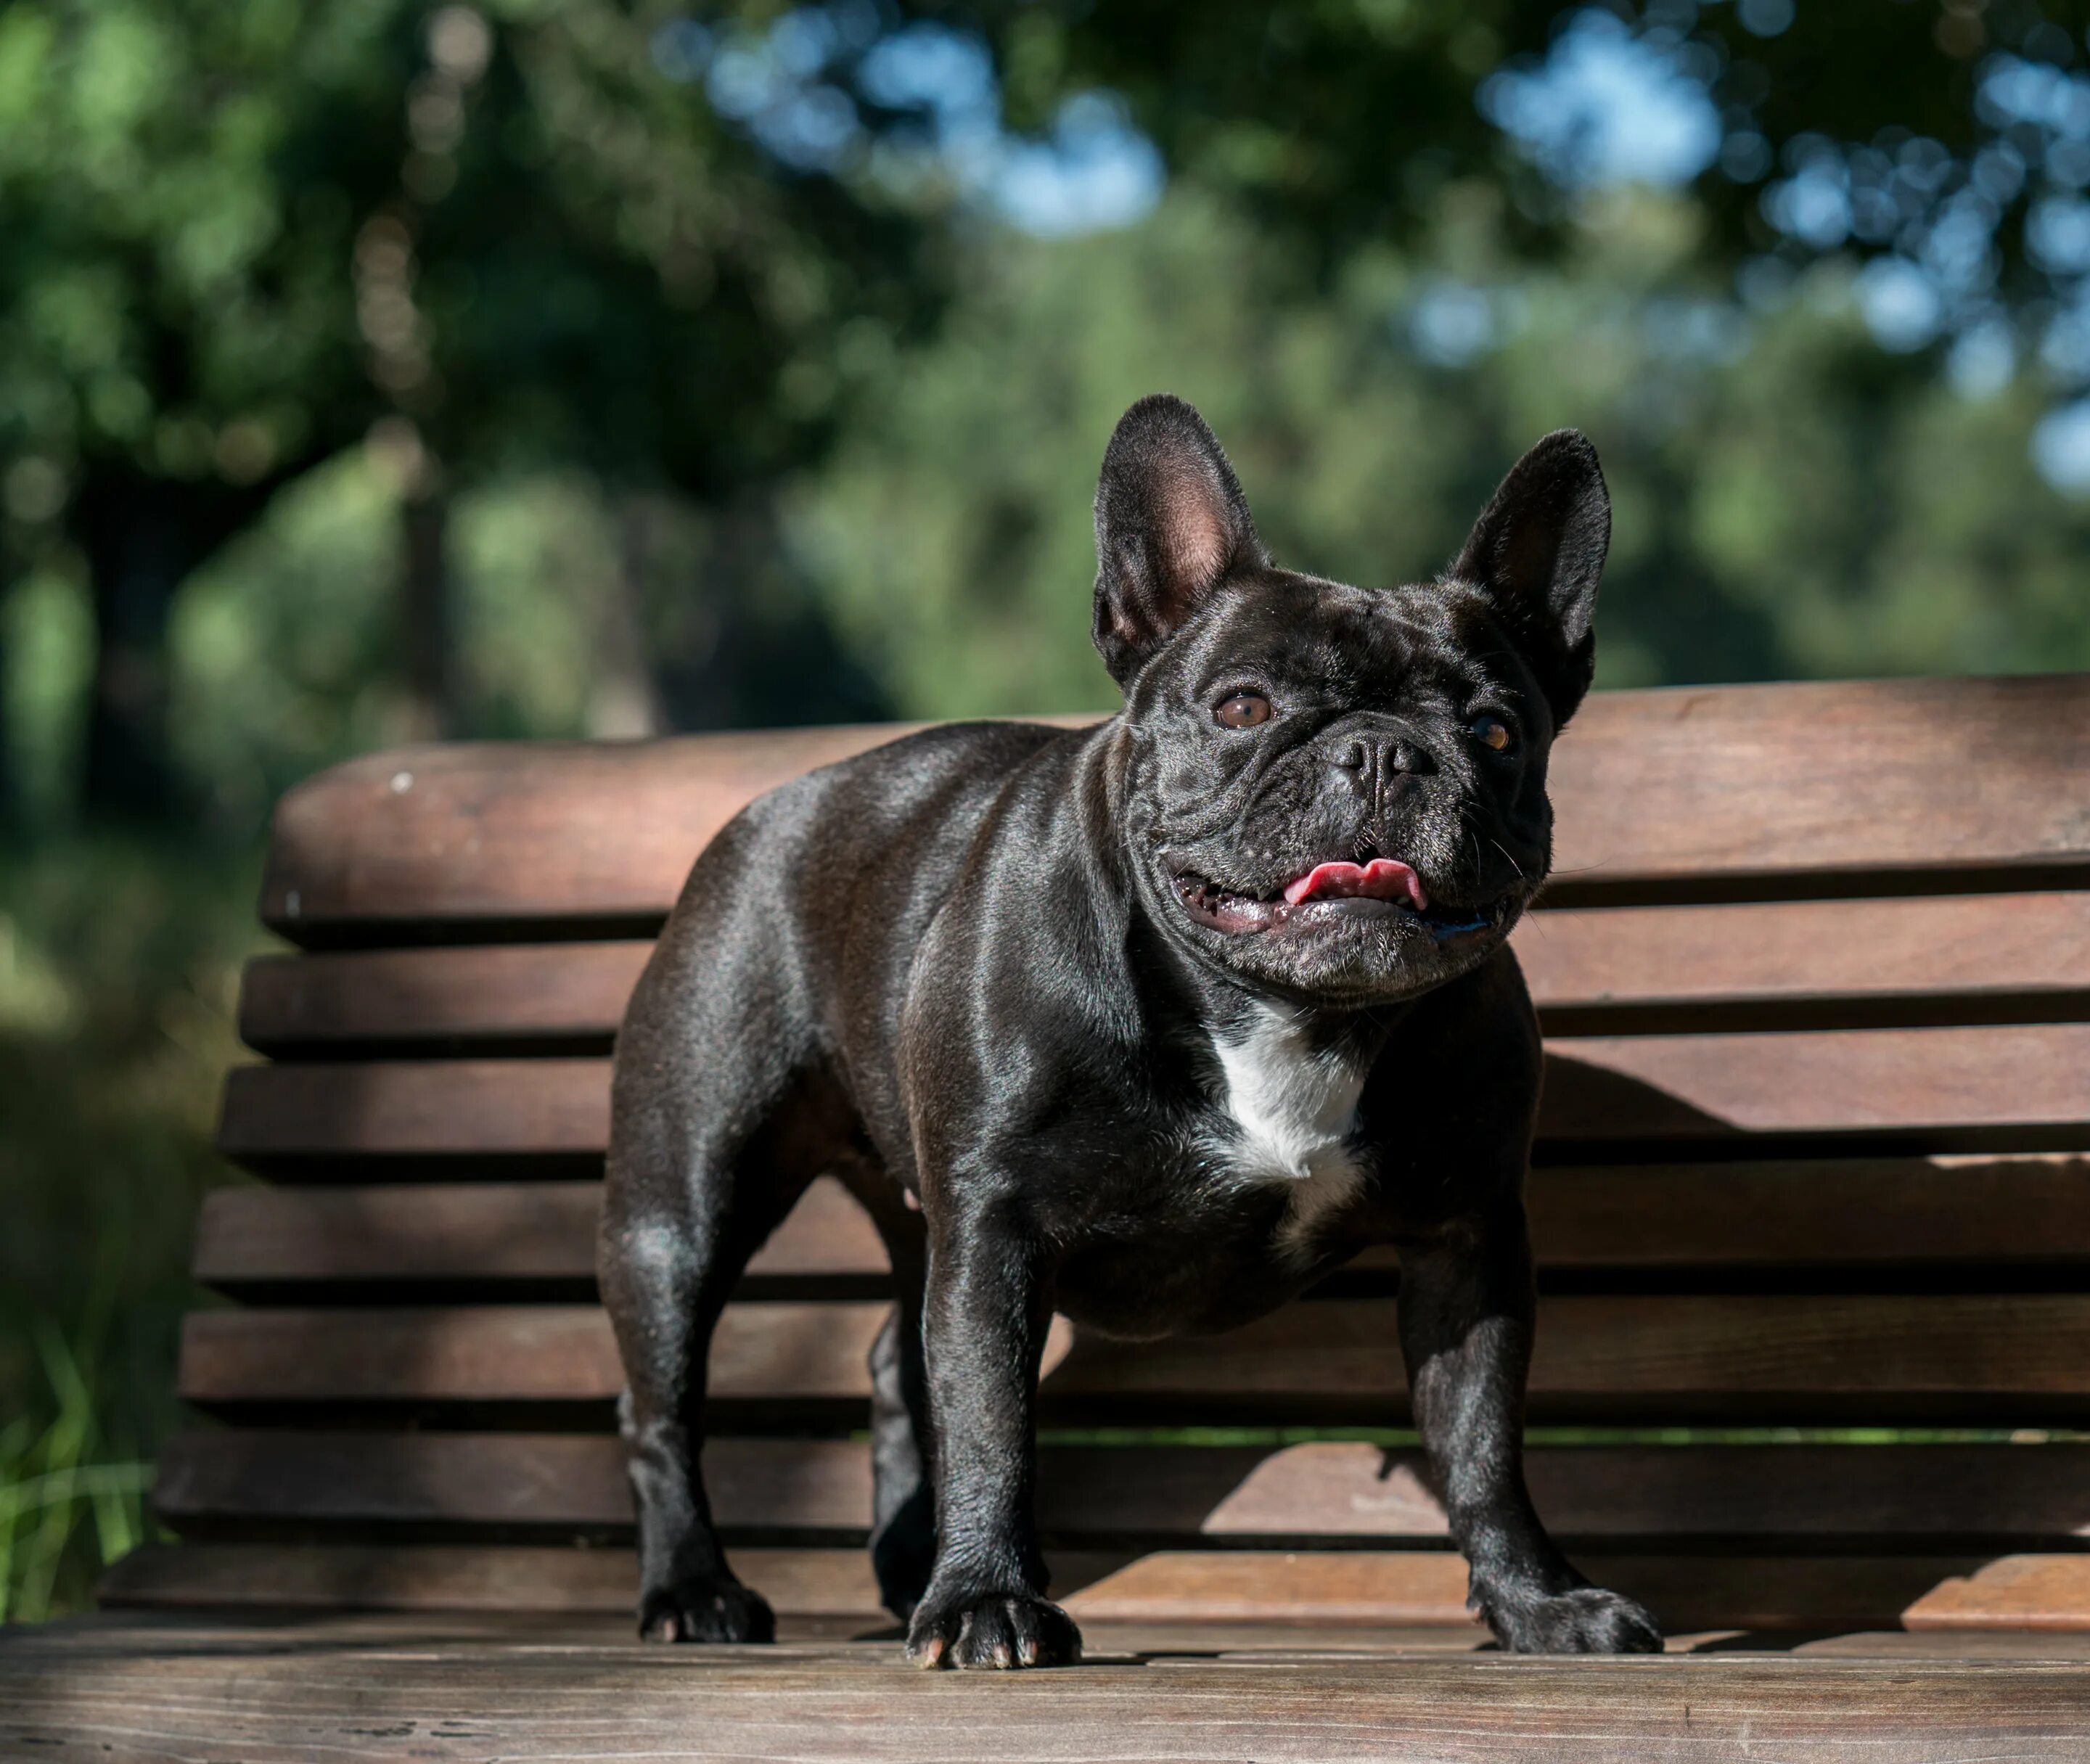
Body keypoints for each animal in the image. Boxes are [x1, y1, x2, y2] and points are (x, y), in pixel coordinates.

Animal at [606, 397, 1663, 1663]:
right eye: (1244, 706)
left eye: (1498, 730)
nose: (1379, 750)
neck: (1277, 1012)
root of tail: (771, 800)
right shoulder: (996, 1229)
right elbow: (992, 1419)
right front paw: (987, 1601)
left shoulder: (1470, 1243)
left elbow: (1485, 1443)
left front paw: (1536, 1601)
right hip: (686, 1200)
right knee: (664, 1401)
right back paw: (695, 1587)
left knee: (897, 1362)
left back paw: (908, 1564)